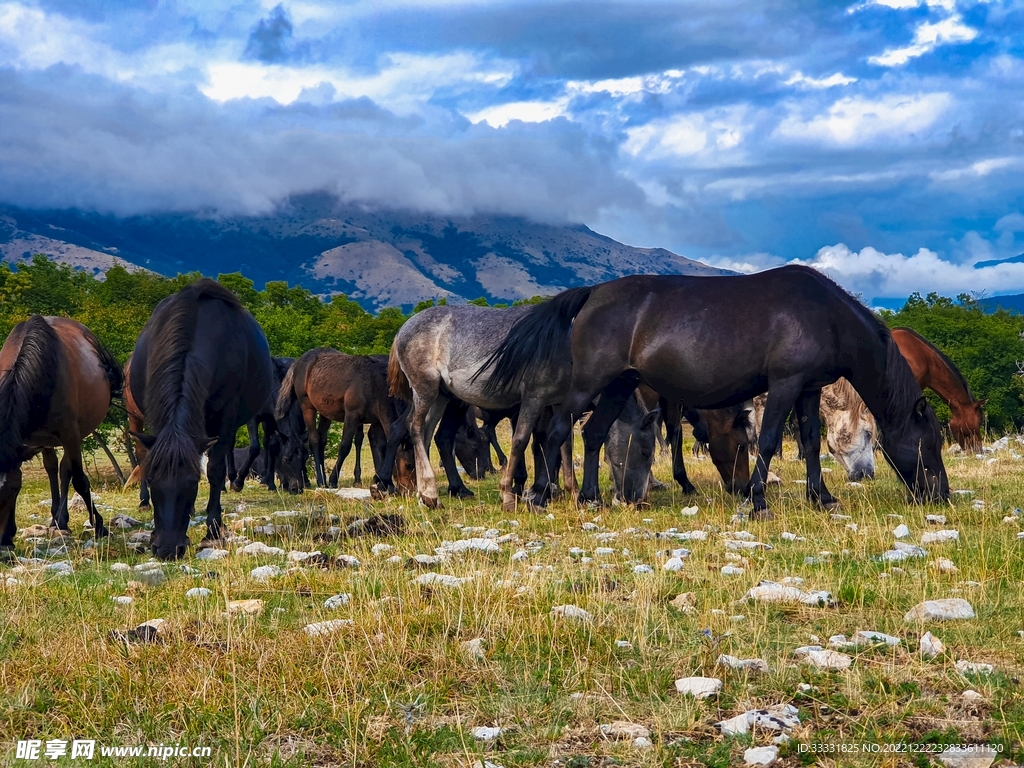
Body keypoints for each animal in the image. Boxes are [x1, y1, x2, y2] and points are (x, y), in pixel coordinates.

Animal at [0, 315, 123, 551]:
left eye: (7, 491)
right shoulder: (21, 443)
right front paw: (7, 537)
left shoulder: (71, 435)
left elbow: (80, 480)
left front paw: (99, 525)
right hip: (44, 440)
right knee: (52, 468)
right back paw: (57, 519)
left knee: (67, 470)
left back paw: (62, 519)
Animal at [129, 279, 273, 559]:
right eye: (151, 480)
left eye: (193, 482)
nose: (167, 549)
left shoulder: (225, 417)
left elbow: (215, 470)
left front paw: (212, 532)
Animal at [274, 350, 413, 490]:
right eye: (408, 465)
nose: (409, 490)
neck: (373, 385)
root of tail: (299, 361)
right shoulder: (352, 416)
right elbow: (345, 446)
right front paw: (333, 480)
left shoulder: (376, 421)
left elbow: (381, 446)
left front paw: (385, 483)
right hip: (307, 407)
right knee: (314, 439)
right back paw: (322, 480)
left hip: (325, 413)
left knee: (322, 440)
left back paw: (322, 479)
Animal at [481, 266, 949, 518]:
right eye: (928, 442)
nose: (940, 494)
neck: (824, 314)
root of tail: (592, 294)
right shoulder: (784, 385)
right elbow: (769, 440)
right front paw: (757, 501)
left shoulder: (808, 389)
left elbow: (812, 442)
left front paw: (822, 497)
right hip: (588, 384)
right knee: (559, 431)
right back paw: (539, 495)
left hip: (619, 385)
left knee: (593, 434)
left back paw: (591, 497)